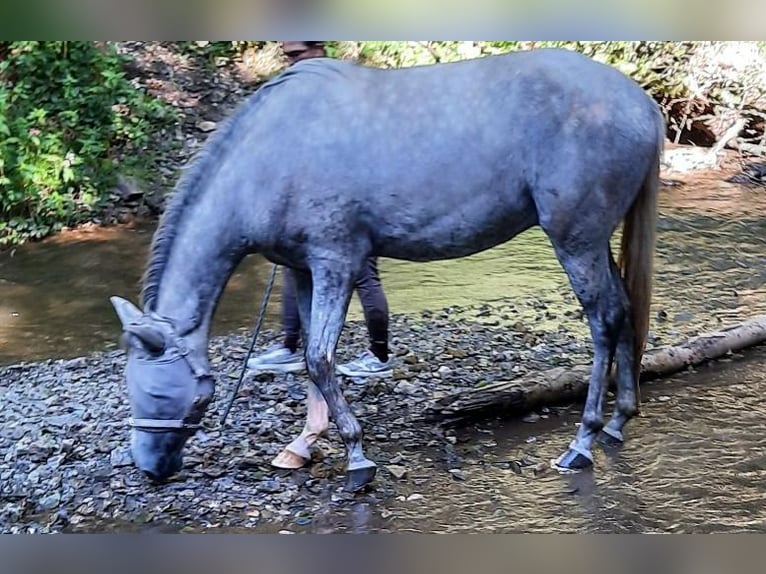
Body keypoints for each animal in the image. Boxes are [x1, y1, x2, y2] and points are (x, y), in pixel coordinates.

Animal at [109, 47, 664, 492]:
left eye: (157, 391)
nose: (149, 468)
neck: (269, 156)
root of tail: (641, 103)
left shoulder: (335, 261)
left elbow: (319, 359)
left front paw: (357, 458)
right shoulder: (305, 269)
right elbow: (310, 360)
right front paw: (303, 445)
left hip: (576, 240)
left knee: (603, 322)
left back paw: (582, 442)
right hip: (595, 242)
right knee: (624, 311)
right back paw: (618, 422)